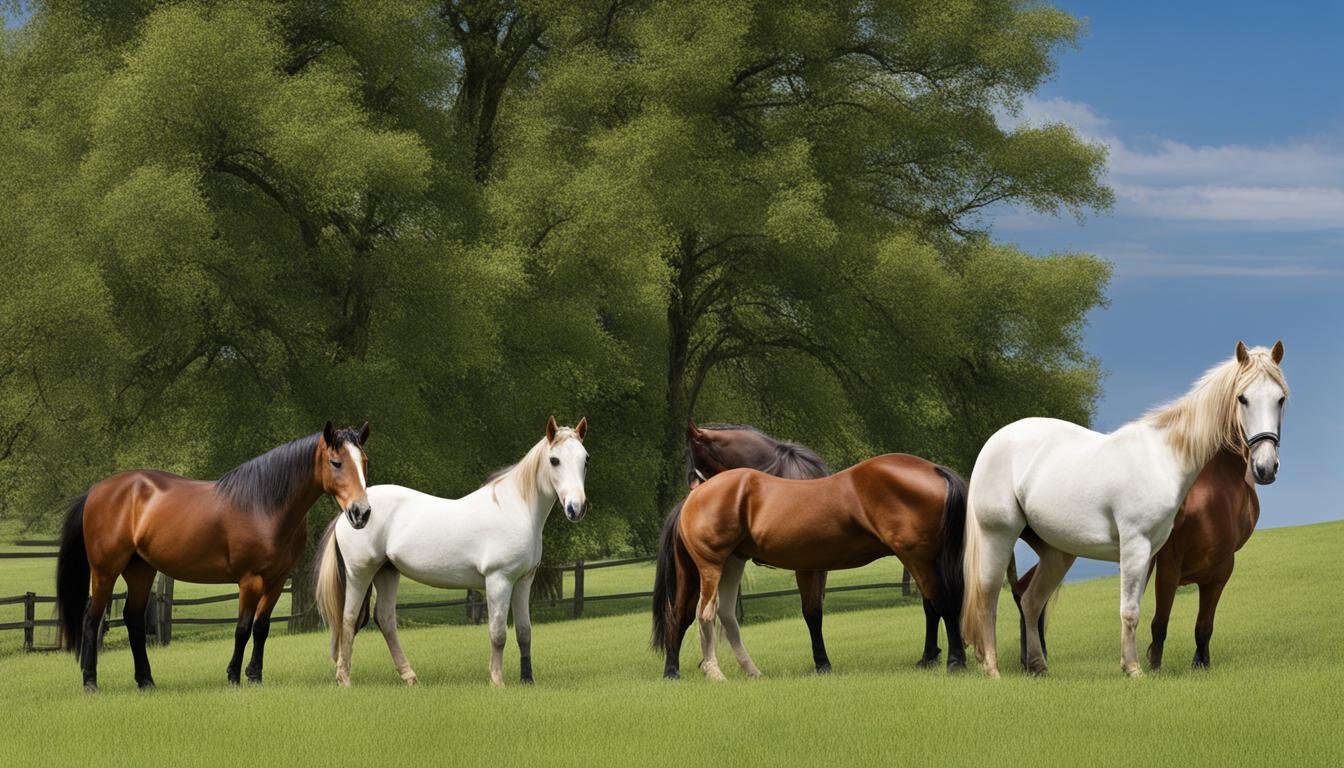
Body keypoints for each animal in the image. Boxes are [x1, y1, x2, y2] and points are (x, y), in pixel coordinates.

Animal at [55, 422, 371, 692]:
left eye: (364, 461)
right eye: (336, 462)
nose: (362, 512)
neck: (264, 505)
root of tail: (97, 491)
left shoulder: (277, 580)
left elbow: (262, 627)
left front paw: (255, 676)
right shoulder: (250, 580)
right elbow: (242, 628)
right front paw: (233, 677)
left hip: (140, 570)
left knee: (133, 619)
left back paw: (146, 681)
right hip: (105, 569)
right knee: (91, 618)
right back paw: (90, 682)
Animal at [314, 417, 588, 687]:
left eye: (585, 459)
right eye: (554, 460)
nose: (576, 508)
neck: (514, 508)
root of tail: (350, 513)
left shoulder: (523, 581)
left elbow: (524, 631)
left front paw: (527, 680)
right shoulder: (499, 580)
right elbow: (498, 633)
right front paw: (497, 681)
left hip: (387, 572)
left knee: (386, 619)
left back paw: (409, 677)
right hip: (360, 573)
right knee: (348, 619)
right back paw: (344, 679)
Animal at [657, 421, 958, 673]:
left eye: (694, 459)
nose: (695, 492)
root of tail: (934, 469)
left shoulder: (810, 567)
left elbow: (812, 613)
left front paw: (822, 663)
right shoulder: (812, 566)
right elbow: (813, 613)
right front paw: (822, 663)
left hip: (917, 557)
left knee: (933, 600)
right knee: (682, 614)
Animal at [1012, 444, 1261, 671]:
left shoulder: (1217, 567)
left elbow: (1203, 624)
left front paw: (1199, 662)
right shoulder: (1176, 559)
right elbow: (1163, 620)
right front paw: (1156, 665)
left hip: (1056, 551)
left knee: (1027, 592)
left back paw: (1031, 660)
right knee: (1030, 593)